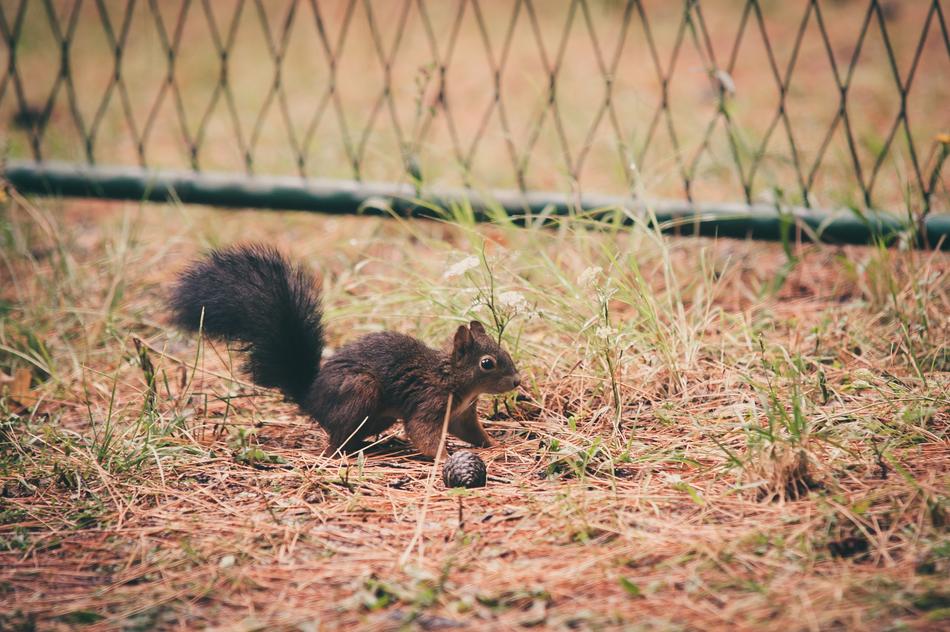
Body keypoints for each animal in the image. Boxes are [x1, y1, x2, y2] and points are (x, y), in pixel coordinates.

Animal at [168, 243, 521, 457]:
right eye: (487, 363)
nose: (517, 381)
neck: (450, 378)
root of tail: (310, 398)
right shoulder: (428, 403)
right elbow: (423, 433)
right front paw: (443, 456)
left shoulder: (463, 415)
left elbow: (471, 432)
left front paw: (493, 444)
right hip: (360, 391)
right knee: (335, 441)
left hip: (376, 415)